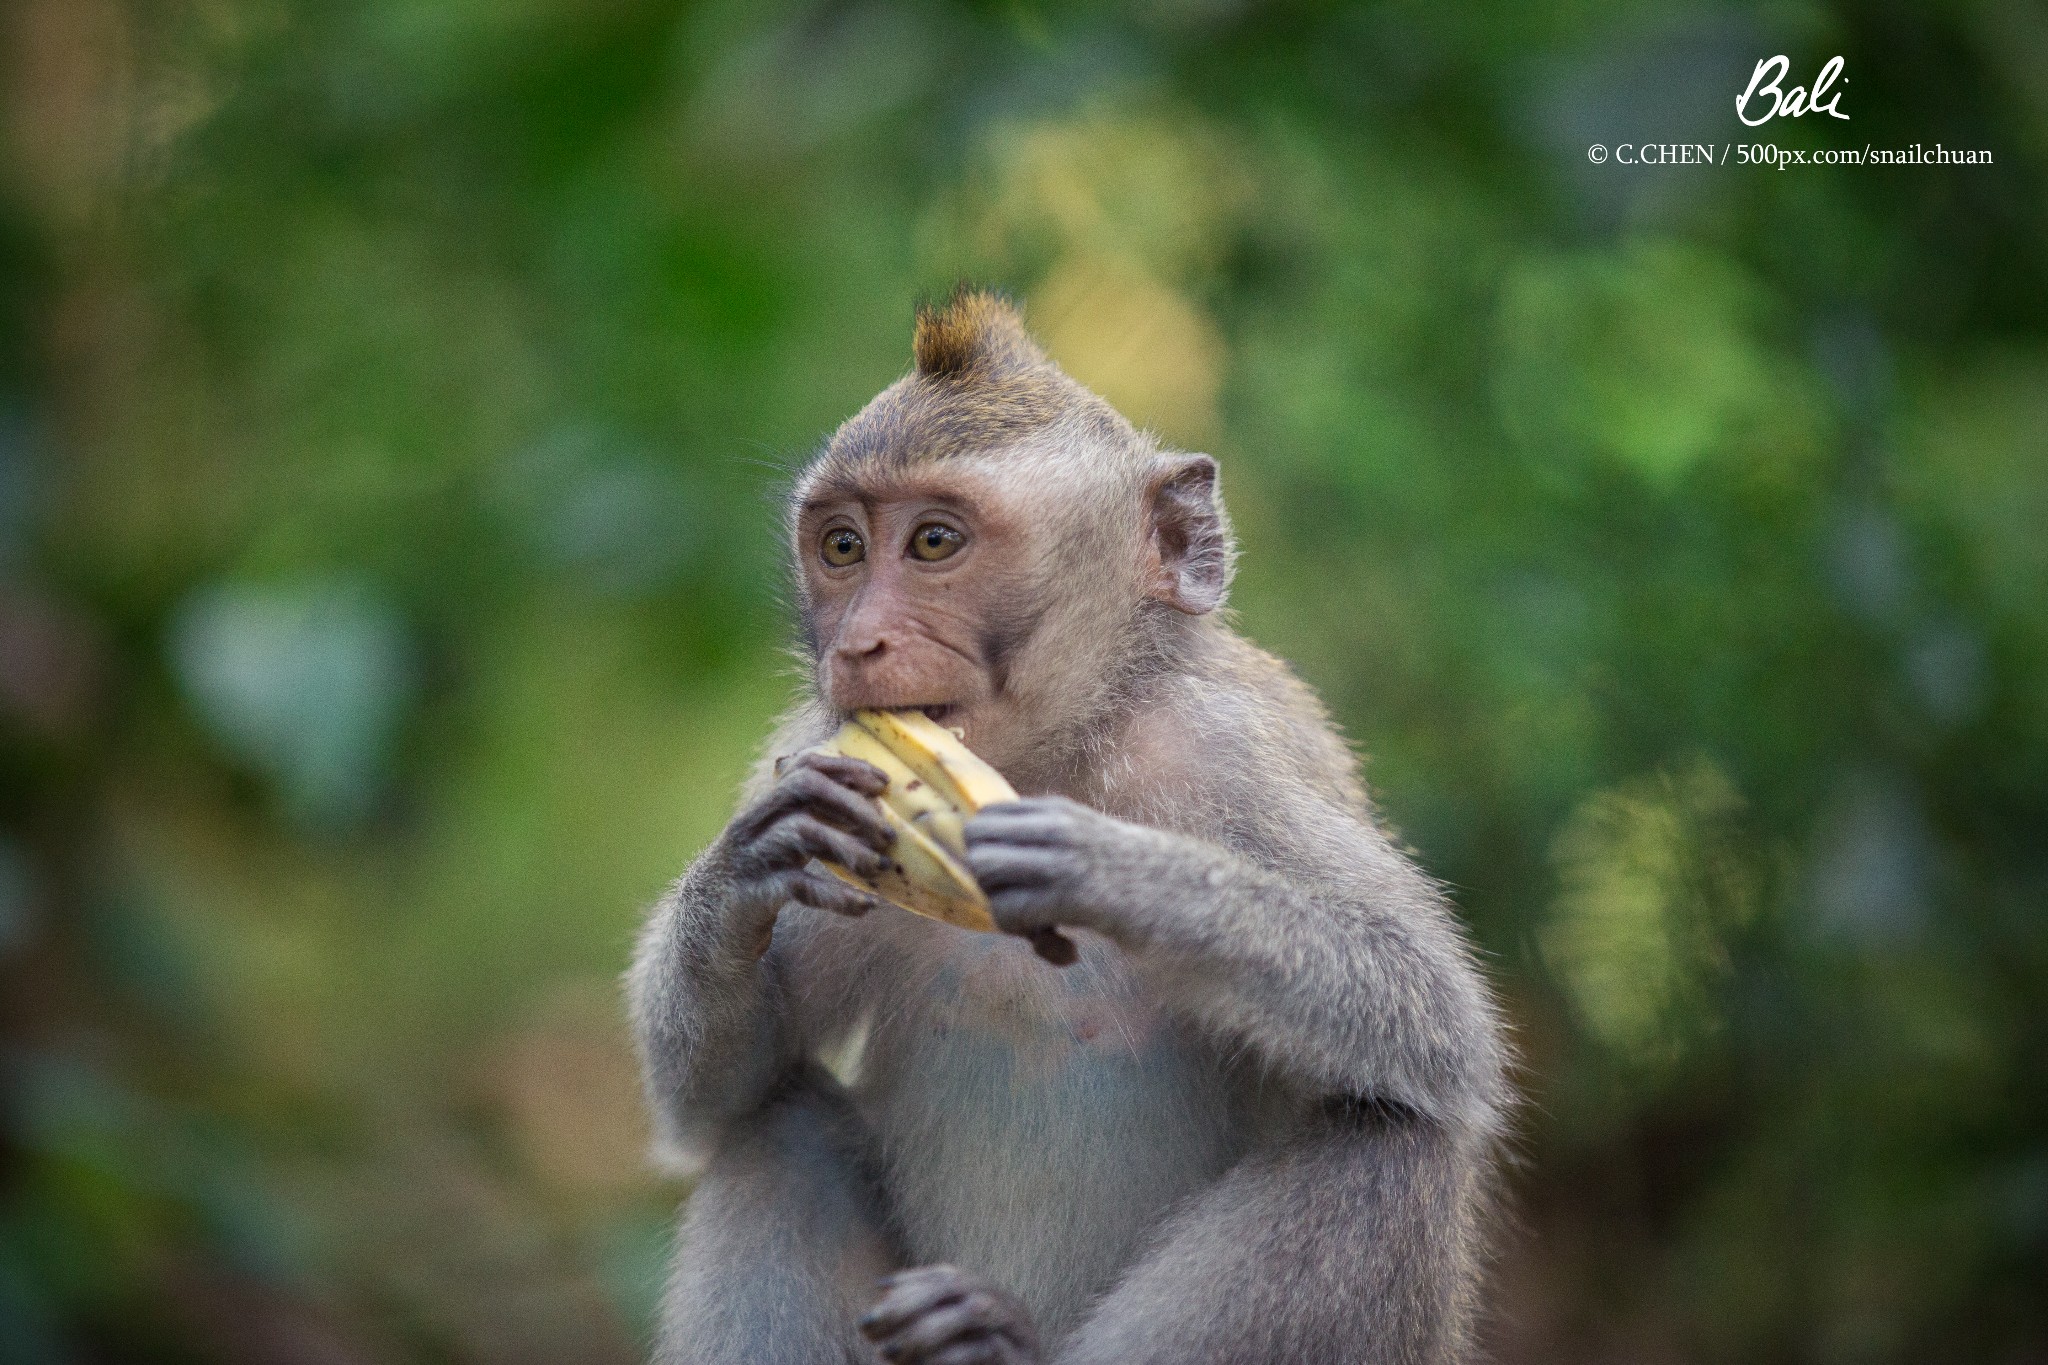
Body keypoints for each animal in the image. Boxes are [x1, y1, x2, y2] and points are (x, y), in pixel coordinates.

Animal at [630, 290, 1515, 1365]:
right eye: (842, 547)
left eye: (934, 543)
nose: (858, 643)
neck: (1060, 749)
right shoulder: (813, 746)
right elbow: (715, 1093)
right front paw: (746, 867)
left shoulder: (1224, 750)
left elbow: (1432, 1012)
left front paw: (1113, 869)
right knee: (775, 1122)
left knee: (1389, 1141)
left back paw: (1002, 1342)